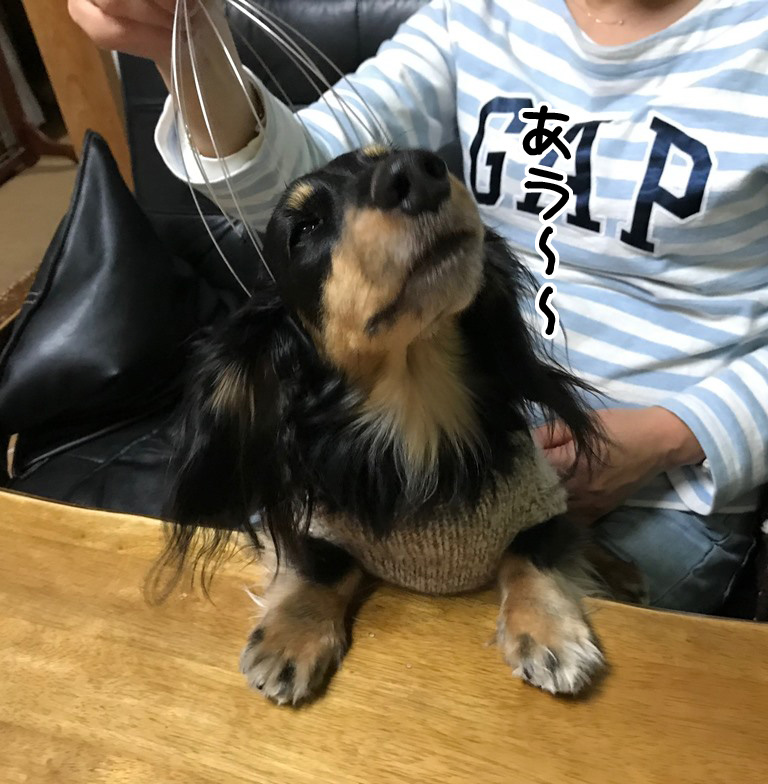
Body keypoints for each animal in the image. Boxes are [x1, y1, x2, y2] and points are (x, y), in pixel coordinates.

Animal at [155, 145, 614, 705]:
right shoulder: (318, 524)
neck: (418, 412)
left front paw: (548, 634)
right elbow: (321, 566)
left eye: (394, 154)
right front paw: (290, 637)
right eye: (304, 229)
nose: (419, 171)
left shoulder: (542, 505)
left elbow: (531, 555)